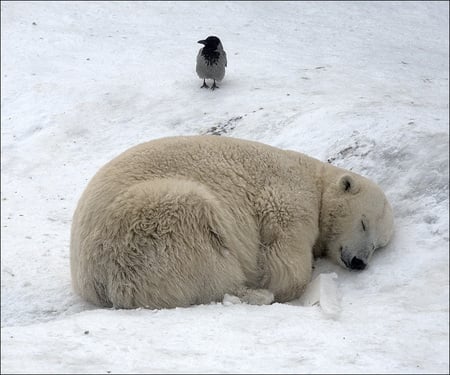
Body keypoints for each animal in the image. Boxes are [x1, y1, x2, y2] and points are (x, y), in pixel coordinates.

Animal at [70, 137, 394, 310]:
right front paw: (287, 284)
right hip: (147, 224)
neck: (314, 179)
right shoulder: (286, 197)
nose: (359, 262)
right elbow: (283, 256)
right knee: (204, 256)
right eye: (363, 223)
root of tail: (95, 280)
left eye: (378, 245)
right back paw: (257, 294)